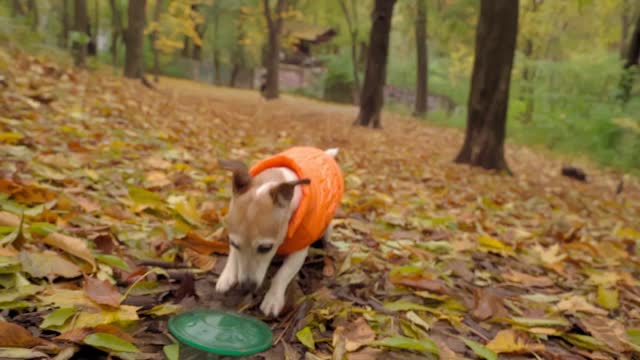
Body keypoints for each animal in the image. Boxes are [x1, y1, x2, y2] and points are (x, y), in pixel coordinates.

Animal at [216, 146, 344, 316]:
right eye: (234, 244)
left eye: (265, 248)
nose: (247, 287)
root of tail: (324, 153)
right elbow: (233, 256)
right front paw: (227, 275)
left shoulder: (299, 251)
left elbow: (283, 273)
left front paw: (273, 298)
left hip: (327, 228)